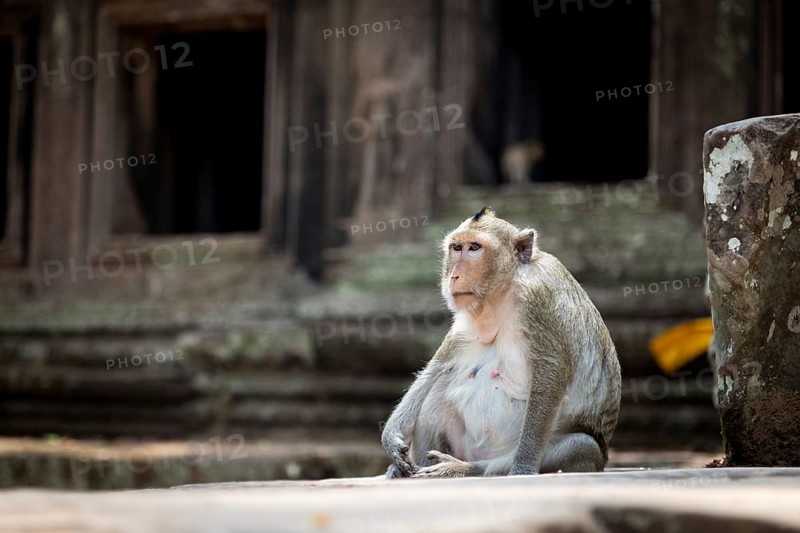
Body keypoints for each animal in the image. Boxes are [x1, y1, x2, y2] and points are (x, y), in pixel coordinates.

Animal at [381, 207, 621, 478]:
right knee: (438, 387)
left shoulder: (539, 299)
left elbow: (551, 373)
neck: (503, 291)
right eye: (456, 248)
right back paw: (409, 468)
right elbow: (436, 367)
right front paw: (391, 438)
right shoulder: (465, 323)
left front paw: (523, 467)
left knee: (581, 445)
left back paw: (463, 468)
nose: (454, 275)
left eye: (475, 247)